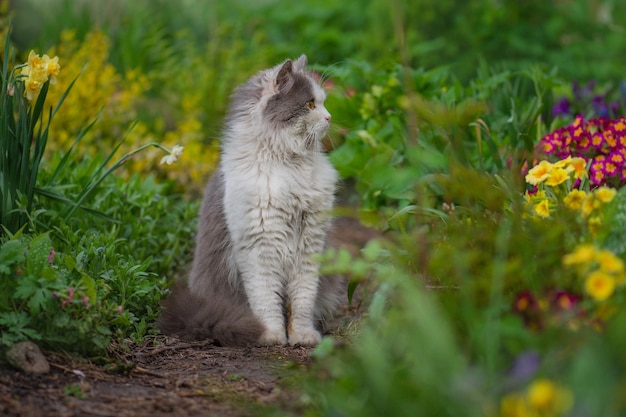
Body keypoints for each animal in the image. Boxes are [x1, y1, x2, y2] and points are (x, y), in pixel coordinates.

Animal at [156, 54, 342, 348]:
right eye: (310, 104)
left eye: (322, 102)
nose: (329, 117)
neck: (289, 164)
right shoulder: (259, 246)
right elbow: (267, 301)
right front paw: (271, 336)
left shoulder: (310, 243)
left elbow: (302, 300)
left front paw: (302, 336)